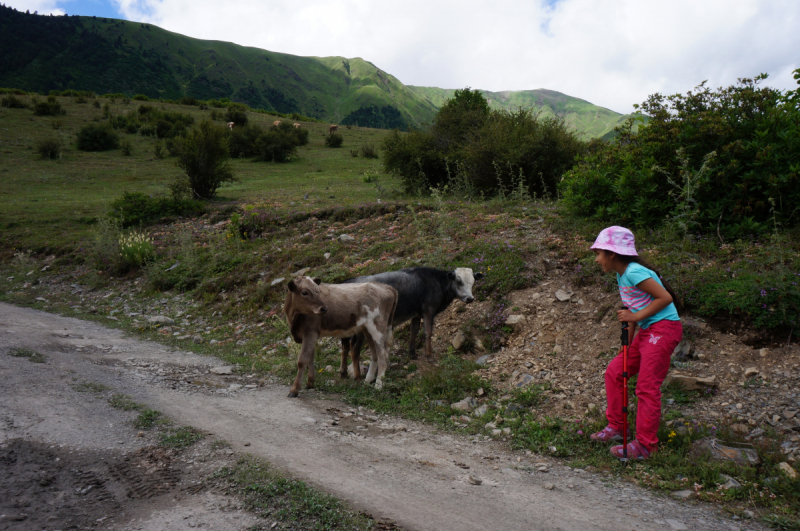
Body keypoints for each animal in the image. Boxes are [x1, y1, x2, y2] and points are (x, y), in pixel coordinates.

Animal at [342, 266, 484, 370]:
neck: (439, 283)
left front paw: (412, 353)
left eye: (473, 282)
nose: (470, 298)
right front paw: (429, 356)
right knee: (354, 346)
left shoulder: (416, 314)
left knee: (345, 346)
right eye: (459, 282)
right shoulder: (428, 311)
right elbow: (428, 332)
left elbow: (414, 331)